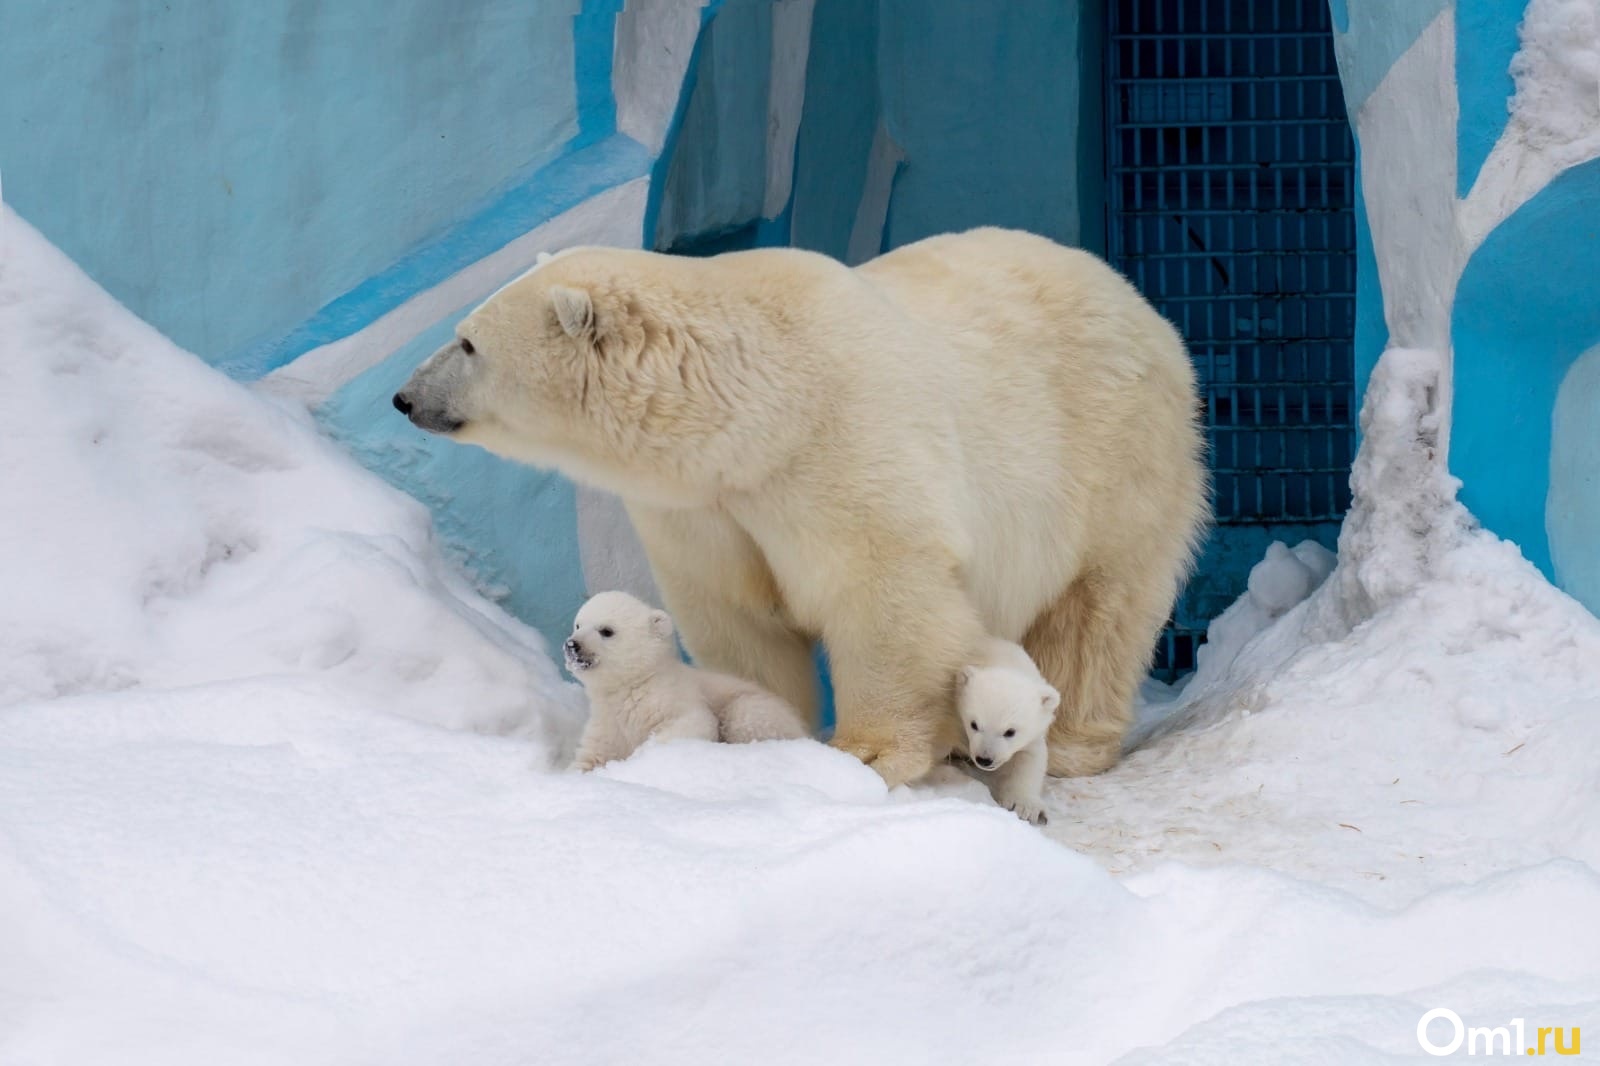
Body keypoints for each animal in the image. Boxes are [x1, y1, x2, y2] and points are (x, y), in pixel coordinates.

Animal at [566, 589, 812, 765]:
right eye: (578, 624)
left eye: (606, 630)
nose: (572, 645)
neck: (636, 684)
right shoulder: (607, 724)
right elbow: (592, 756)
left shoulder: (671, 698)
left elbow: (693, 723)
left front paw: (643, 754)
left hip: (759, 709)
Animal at [953, 640, 1056, 819]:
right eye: (974, 724)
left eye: (1010, 732)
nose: (984, 759)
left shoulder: (1034, 732)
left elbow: (1029, 758)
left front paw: (1025, 807)